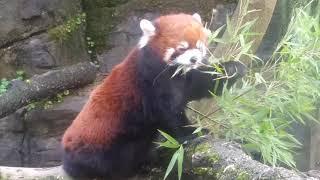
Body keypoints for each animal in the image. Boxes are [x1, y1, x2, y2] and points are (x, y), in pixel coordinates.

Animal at [62, 13, 245, 178]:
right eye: (182, 48)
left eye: (199, 46)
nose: (194, 59)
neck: (173, 72)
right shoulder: (150, 83)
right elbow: (169, 113)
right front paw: (192, 133)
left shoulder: (185, 78)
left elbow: (201, 85)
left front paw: (232, 68)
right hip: (101, 146)